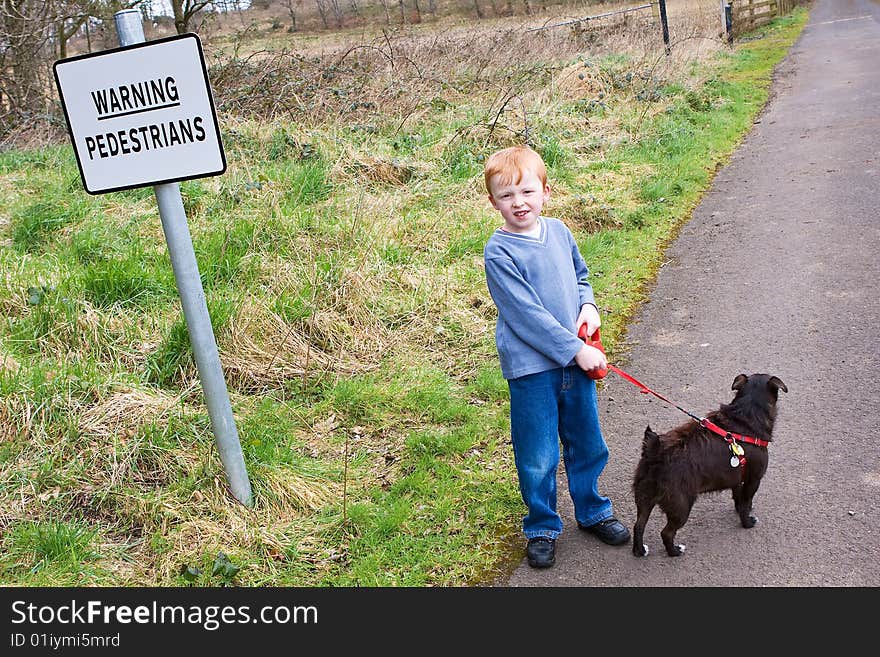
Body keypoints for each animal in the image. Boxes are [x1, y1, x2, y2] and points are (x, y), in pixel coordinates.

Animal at [632, 374, 792, 552]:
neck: (745, 417)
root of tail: (655, 454)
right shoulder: (753, 480)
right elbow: (745, 502)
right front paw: (747, 522)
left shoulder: (737, 479)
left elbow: (739, 499)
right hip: (681, 506)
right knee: (666, 533)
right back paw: (674, 551)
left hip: (644, 499)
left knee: (638, 526)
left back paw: (640, 551)